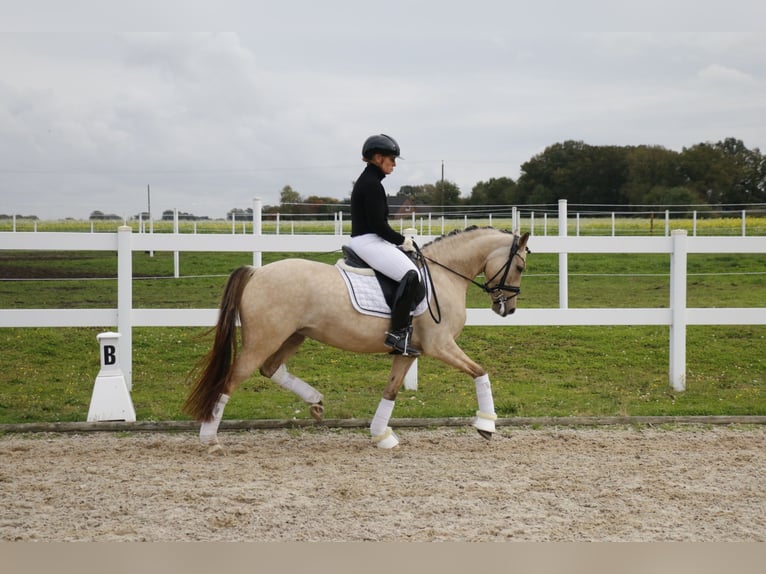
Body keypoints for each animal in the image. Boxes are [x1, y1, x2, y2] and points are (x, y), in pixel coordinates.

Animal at [185, 227, 532, 452]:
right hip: (264, 339)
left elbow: (391, 391)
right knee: (232, 379)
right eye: (519, 266)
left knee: (270, 370)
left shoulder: (408, 352)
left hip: (293, 336)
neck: (444, 274)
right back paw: (211, 441)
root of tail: (256, 272)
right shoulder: (440, 345)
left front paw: (381, 436)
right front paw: (487, 425)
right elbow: (480, 371)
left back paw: (315, 401)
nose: (508, 309)